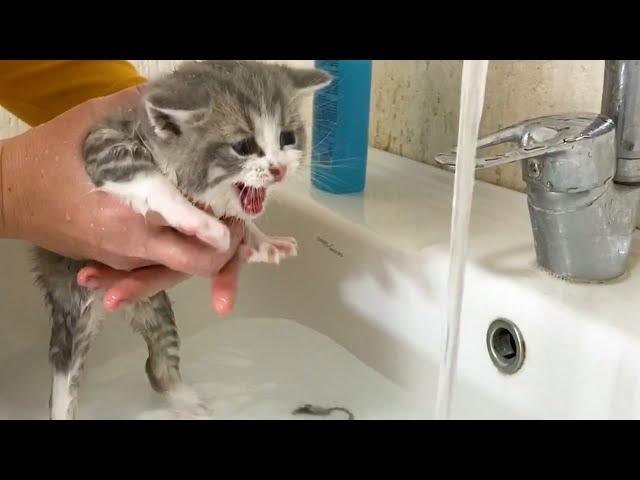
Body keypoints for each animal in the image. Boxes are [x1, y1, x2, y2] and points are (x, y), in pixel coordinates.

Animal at [31, 61, 330, 420]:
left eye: (288, 138)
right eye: (243, 146)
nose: (279, 169)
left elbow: (240, 217)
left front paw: (262, 241)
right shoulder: (102, 143)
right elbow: (149, 179)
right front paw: (202, 222)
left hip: (155, 305)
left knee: (158, 363)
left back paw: (185, 399)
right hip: (72, 298)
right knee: (65, 370)